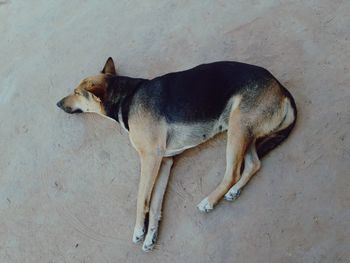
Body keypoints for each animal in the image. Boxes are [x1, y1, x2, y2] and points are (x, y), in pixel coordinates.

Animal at [56, 58, 296, 253]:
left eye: (76, 93)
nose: (57, 103)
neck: (126, 97)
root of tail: (281, 87)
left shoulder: (150, 157)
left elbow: (141, 197)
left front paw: (138, 230)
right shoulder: (164, 161)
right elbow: (154, 202)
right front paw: (151, 236)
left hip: (238, 127)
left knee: (233, 173)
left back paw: (209, 201)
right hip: (246, 131)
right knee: (254, 164)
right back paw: (234, 192)